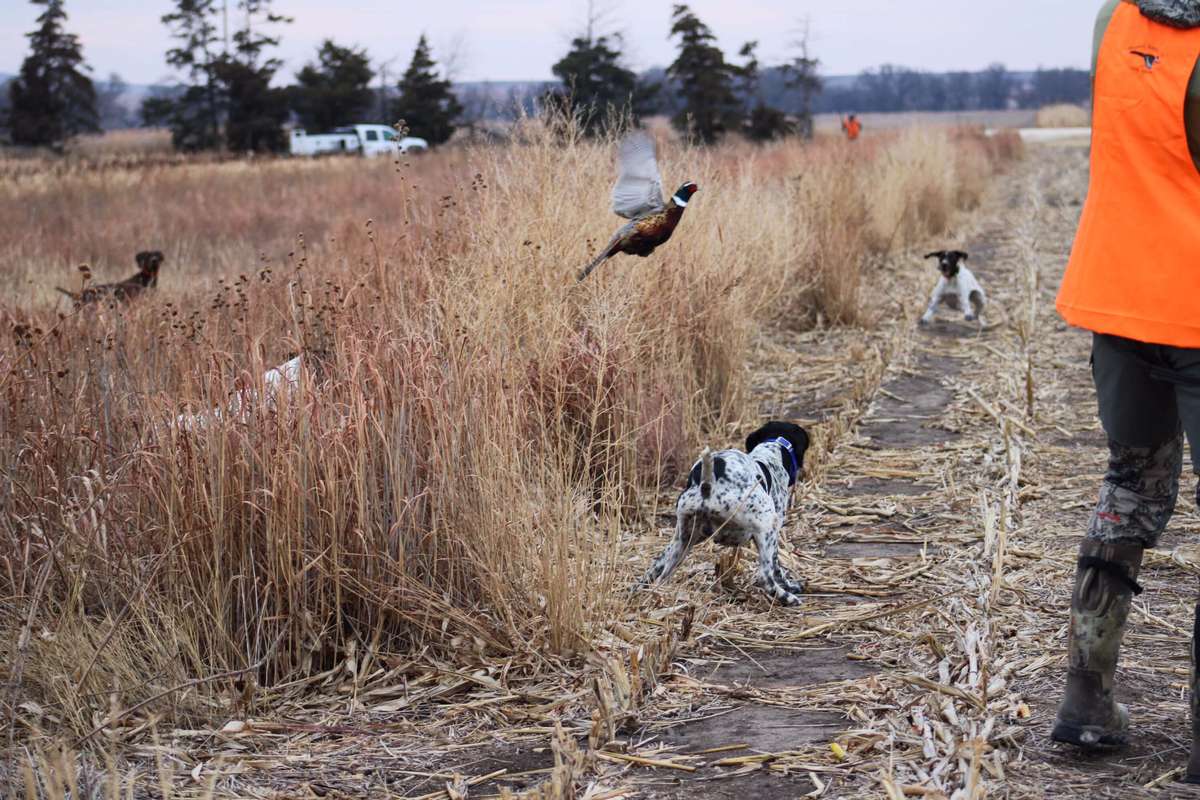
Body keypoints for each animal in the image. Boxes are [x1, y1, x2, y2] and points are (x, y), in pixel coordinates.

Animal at [638, 422, 816, 604]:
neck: (770, 454)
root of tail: (708, 484)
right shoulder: (773, 532)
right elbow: (777, 567)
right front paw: (789, 585)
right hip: (766, 523)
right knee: (764, 576)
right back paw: (787, 598)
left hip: (682, 541)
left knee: (659, 571)